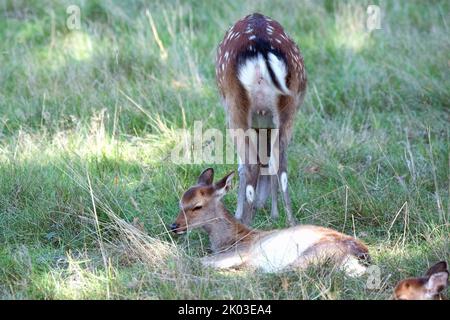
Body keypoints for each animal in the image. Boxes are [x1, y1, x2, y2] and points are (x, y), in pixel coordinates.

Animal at [169, 169, 370, 276]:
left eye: (197, 206)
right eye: (180, 203)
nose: (174, 226)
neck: (229, 240)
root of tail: (362, 254)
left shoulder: (240, 252)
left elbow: (198, 261)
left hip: (316, 252)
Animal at [214, 12, 306, 226]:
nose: (260, 204)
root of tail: (261, 49)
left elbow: (242, 165)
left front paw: (238, 214)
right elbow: (271, 161)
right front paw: (274, 214)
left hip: (234, 107)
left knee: (250, 166)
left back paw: (245, 225)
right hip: (289, 106)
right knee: (281, 165)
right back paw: (291, 223)